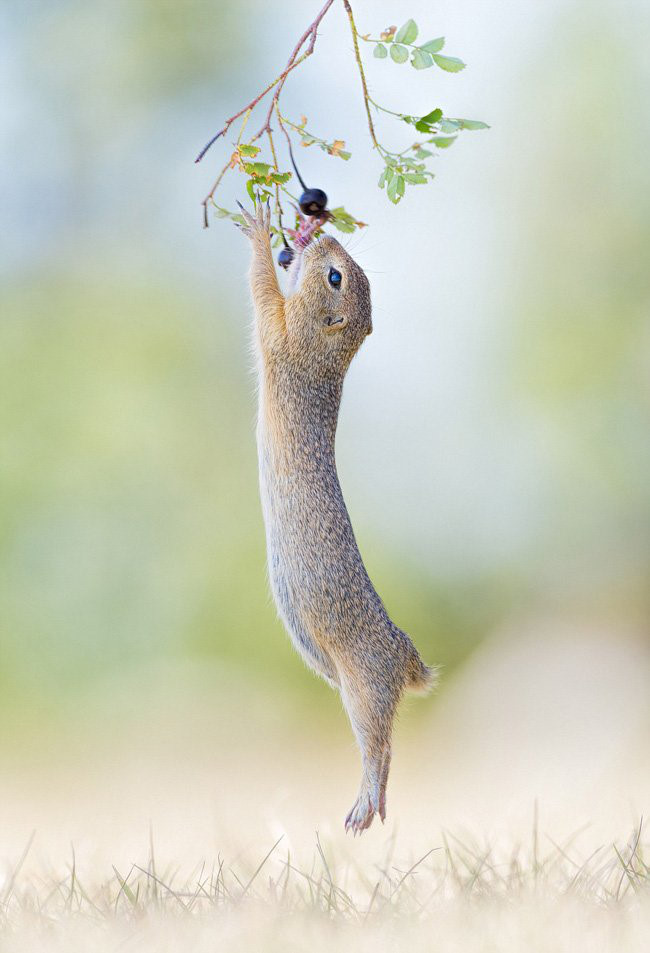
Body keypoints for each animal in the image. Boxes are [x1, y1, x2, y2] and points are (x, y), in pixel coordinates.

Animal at [236, 201, 435, 834]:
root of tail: (407, 657)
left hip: (364, 688)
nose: (320, 233)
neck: (332, 357)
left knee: (380, 747)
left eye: (335, 278)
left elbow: (262, 294)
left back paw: (364, 807)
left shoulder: (281, 333)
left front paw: (259, 231)